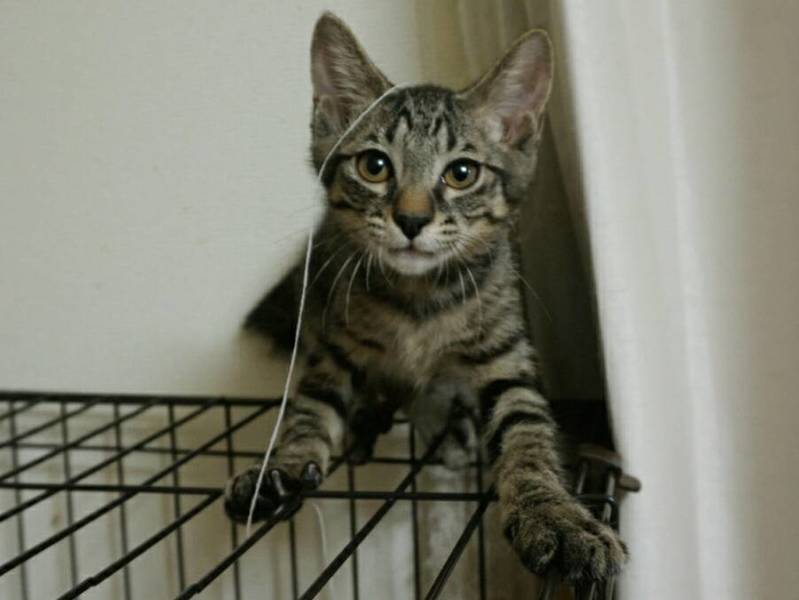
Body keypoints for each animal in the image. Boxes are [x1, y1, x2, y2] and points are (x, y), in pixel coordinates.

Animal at [225, 12, 626, 583]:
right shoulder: (334, 342)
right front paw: (282, 467)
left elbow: (526, 430)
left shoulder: (505, 351)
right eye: (374, 166)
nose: (411, 219)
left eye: (461, 173)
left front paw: (555, 515)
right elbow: (309, 407)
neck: (419, 298)